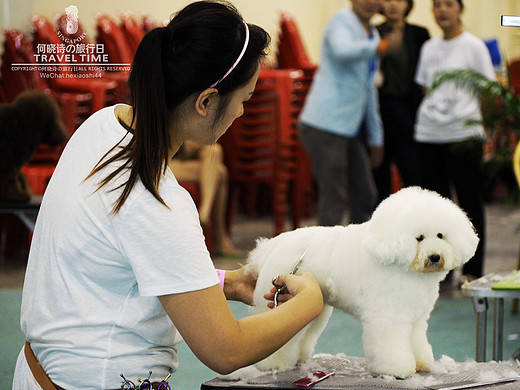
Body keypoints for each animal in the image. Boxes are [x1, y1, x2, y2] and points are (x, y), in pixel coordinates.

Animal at [250, 186, 478, 378]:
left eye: (440, 235)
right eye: (419, 237)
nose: (435, 256)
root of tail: (273, 245)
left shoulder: (416, 318)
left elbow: (416, 340)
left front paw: (421, 362)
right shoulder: (388, 317)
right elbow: (391, 345)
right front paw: (397, 369)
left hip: (312, 306)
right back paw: (274, 363)